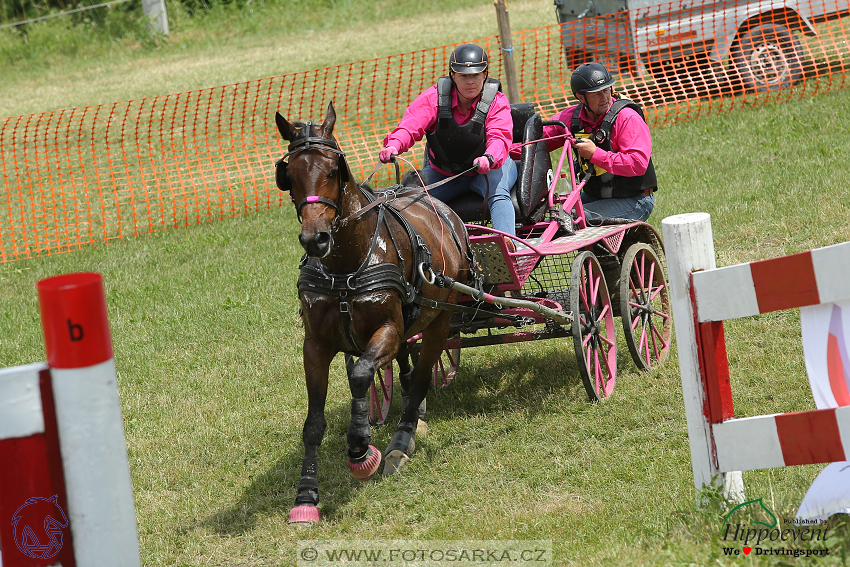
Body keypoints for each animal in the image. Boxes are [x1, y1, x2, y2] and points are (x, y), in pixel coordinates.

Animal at [274, 101, 468, 524]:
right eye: (289, 174)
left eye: (333, 169)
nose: (315, 239)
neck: (346, 263)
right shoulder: (315, 345)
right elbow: (314, 422)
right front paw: (305, 495)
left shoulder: (387, 329)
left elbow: (362, 373)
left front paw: (361, 448)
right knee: (408, 366)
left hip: (440, 318)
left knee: (423, 371)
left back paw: (401, 440)